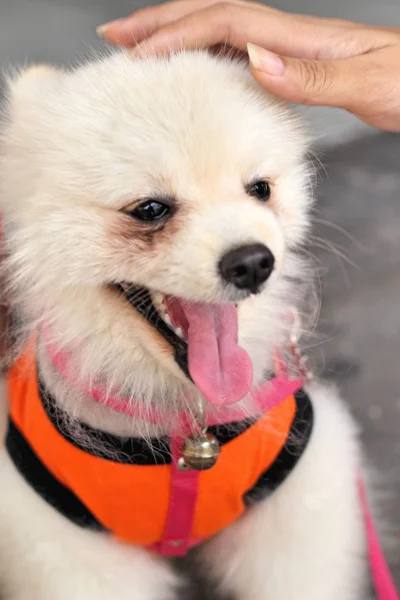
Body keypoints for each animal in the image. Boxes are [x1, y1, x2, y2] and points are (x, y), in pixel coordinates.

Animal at [0, 52, 368, 600]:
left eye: (260, 189)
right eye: (151, 209)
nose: (253, 263)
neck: (187, 422)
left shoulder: (298, 493)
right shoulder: (70, 543)